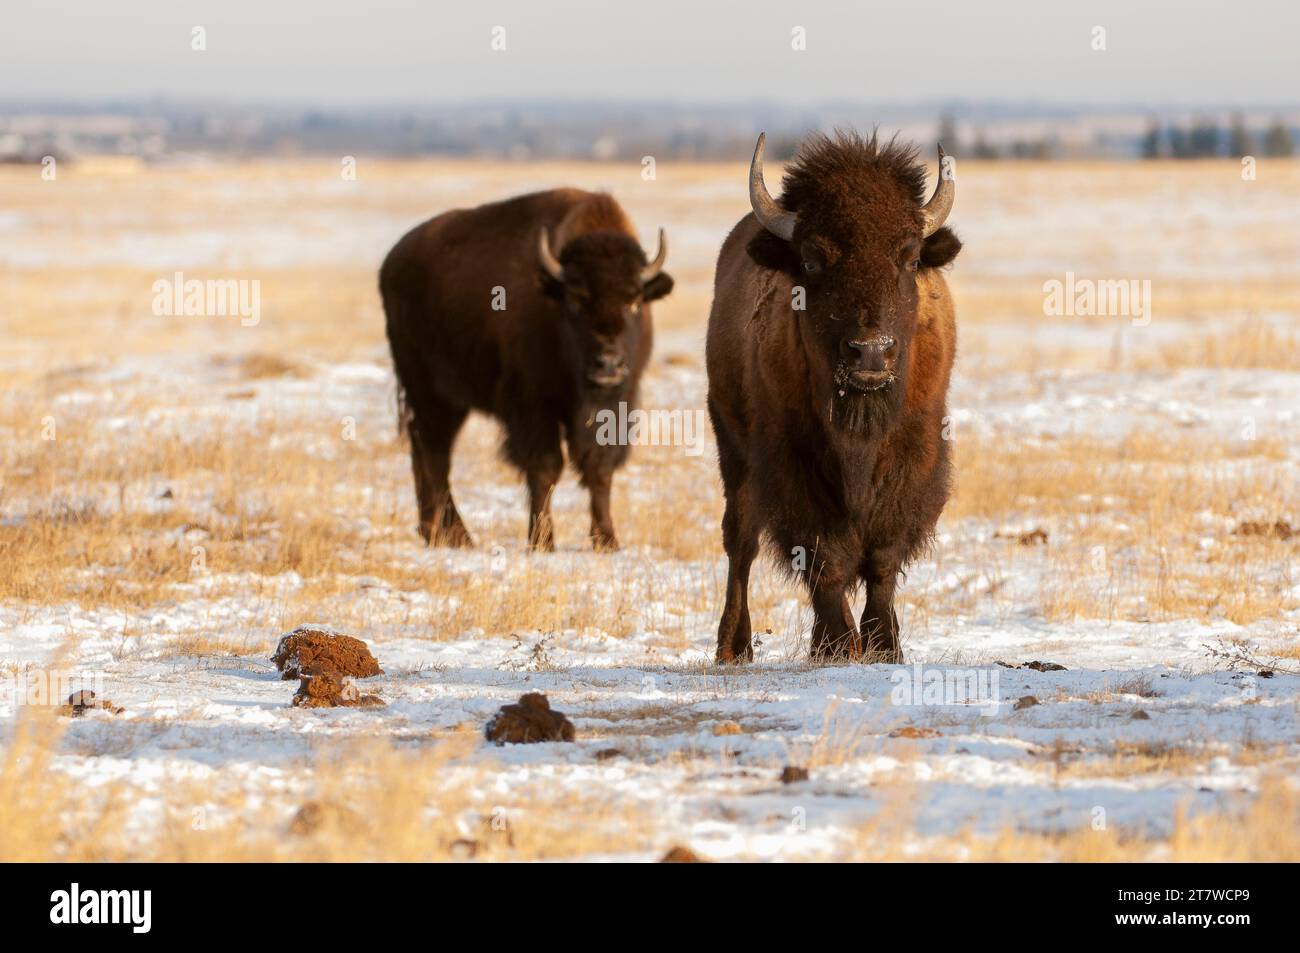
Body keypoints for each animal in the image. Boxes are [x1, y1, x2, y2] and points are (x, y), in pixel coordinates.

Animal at [380, 189, 673, 550]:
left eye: (634, 302)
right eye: (576, 299)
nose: (608, 364)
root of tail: (392, 262)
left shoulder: (616, 407)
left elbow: (599, 470)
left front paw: (608, 541)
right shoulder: (532, 406)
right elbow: (545, 469)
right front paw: (543, 542)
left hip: (447, 401)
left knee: (425, 451)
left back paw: (437, 532)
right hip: (430, 393)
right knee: (435, 455)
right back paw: (455, 536)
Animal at [705, 132, 960, 663]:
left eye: (909, 258)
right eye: (812, 259)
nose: (871, 352)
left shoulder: (916, 455)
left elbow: (882, 557)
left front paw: (884, 646)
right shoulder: (792, 462)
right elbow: (825, 556)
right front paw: (838, 645)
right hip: (731, 446)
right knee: (740, 541)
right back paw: (732, 647)